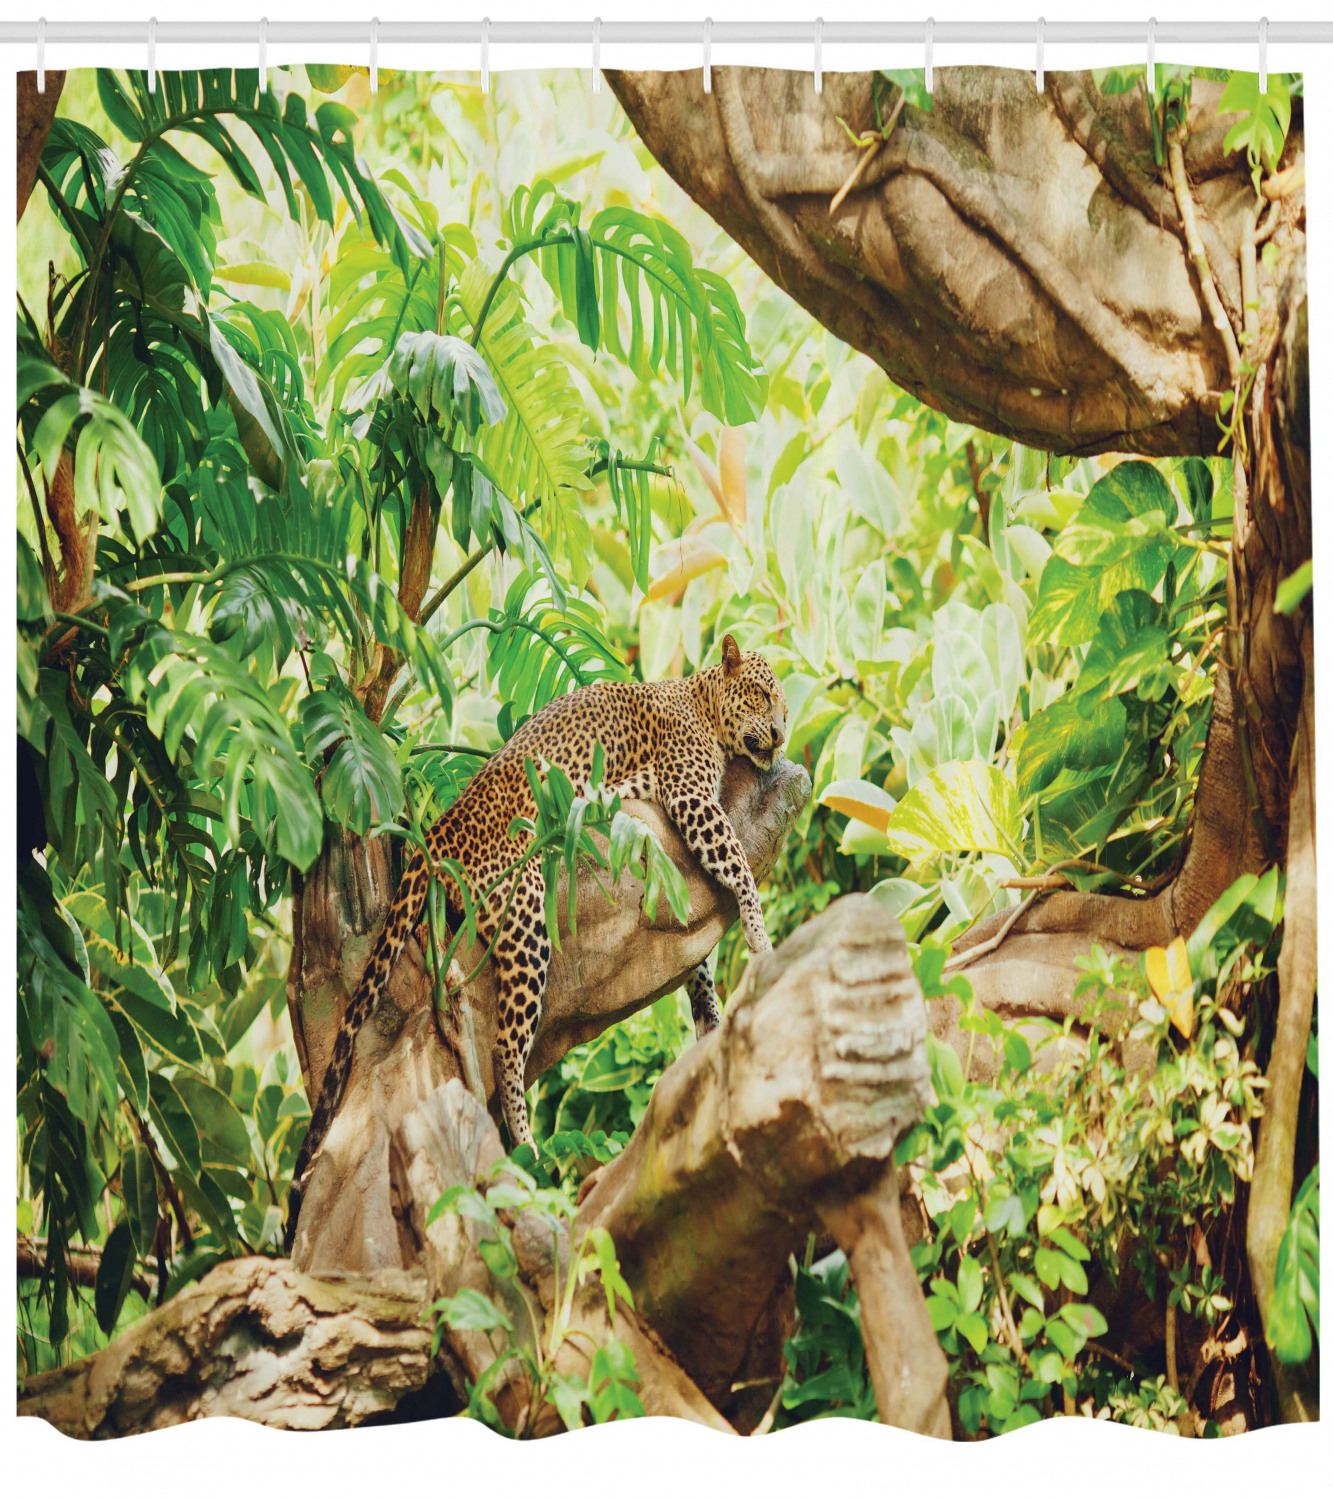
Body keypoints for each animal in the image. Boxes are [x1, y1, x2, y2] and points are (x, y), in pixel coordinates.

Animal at [287, 633, 787, 1236]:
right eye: (763, 696)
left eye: (786, 707)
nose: (782, 735)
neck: (702, 700)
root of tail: (435, 833)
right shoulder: (691, 799)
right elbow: (738, 866)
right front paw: (761, 938)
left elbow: (699, 970)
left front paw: (711, 1021)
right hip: (525, 910)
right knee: (506, 1044)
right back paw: (525, 1149)